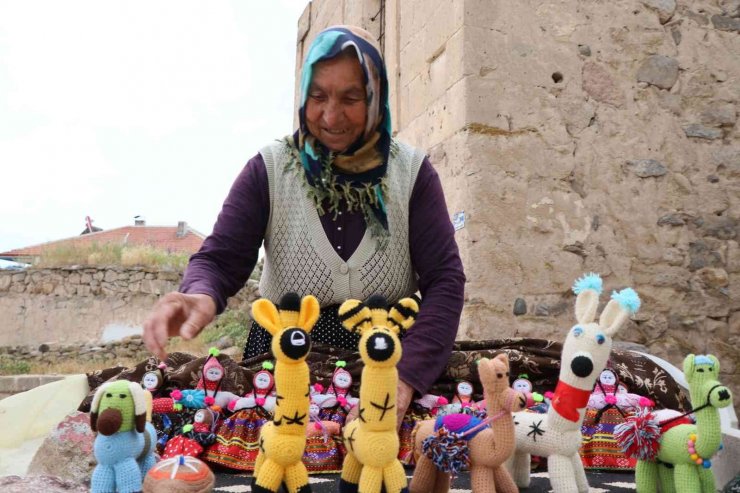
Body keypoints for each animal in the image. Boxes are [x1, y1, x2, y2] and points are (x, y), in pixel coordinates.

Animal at [250, 292, 320, 492]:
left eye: (302, 332)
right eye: (286, 335)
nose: (298, 336)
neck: (287, 434)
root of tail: (267, 424)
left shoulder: (295, 464)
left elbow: (300, 484)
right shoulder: (274, 462)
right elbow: (263, 485)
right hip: (262, 453)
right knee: (258, 466)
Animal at [338, 294, 420, 492]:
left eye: (391, 332)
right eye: (372, 330)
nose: (381, 341)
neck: (378, 432)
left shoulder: (391, 463)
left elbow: (398, 483)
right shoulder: (372, 465)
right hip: (353, 455)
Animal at [410, 354, 528, 492]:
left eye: (507, 374)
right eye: (498, 375)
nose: (522, 400)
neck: (492, 443)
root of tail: (421, 424)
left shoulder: (495, 466)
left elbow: (509, 486)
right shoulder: (481, 465)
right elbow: (484, 488)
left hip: (440, 459)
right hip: (426, 456)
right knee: (418, 484)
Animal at [506, 272, 640, 492]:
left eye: (601, 340)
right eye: (576, 332)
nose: (581, 364)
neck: (560, 426)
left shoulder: (572, 455)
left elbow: (580, 476)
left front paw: (584, 488)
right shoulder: (558, 456)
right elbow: (565, 480)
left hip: (521, 447)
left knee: (520, 460)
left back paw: (521, 483)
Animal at [628, 354, 732, 492]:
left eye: (711, 369)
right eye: (700, 370)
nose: (723, 393)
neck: (695, 440)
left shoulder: (702, 468)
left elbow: (709, 484)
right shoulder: (684, 464)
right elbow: (689, 488)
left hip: (665, 459)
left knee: (666, 476)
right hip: (647, 454)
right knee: (644, 473)